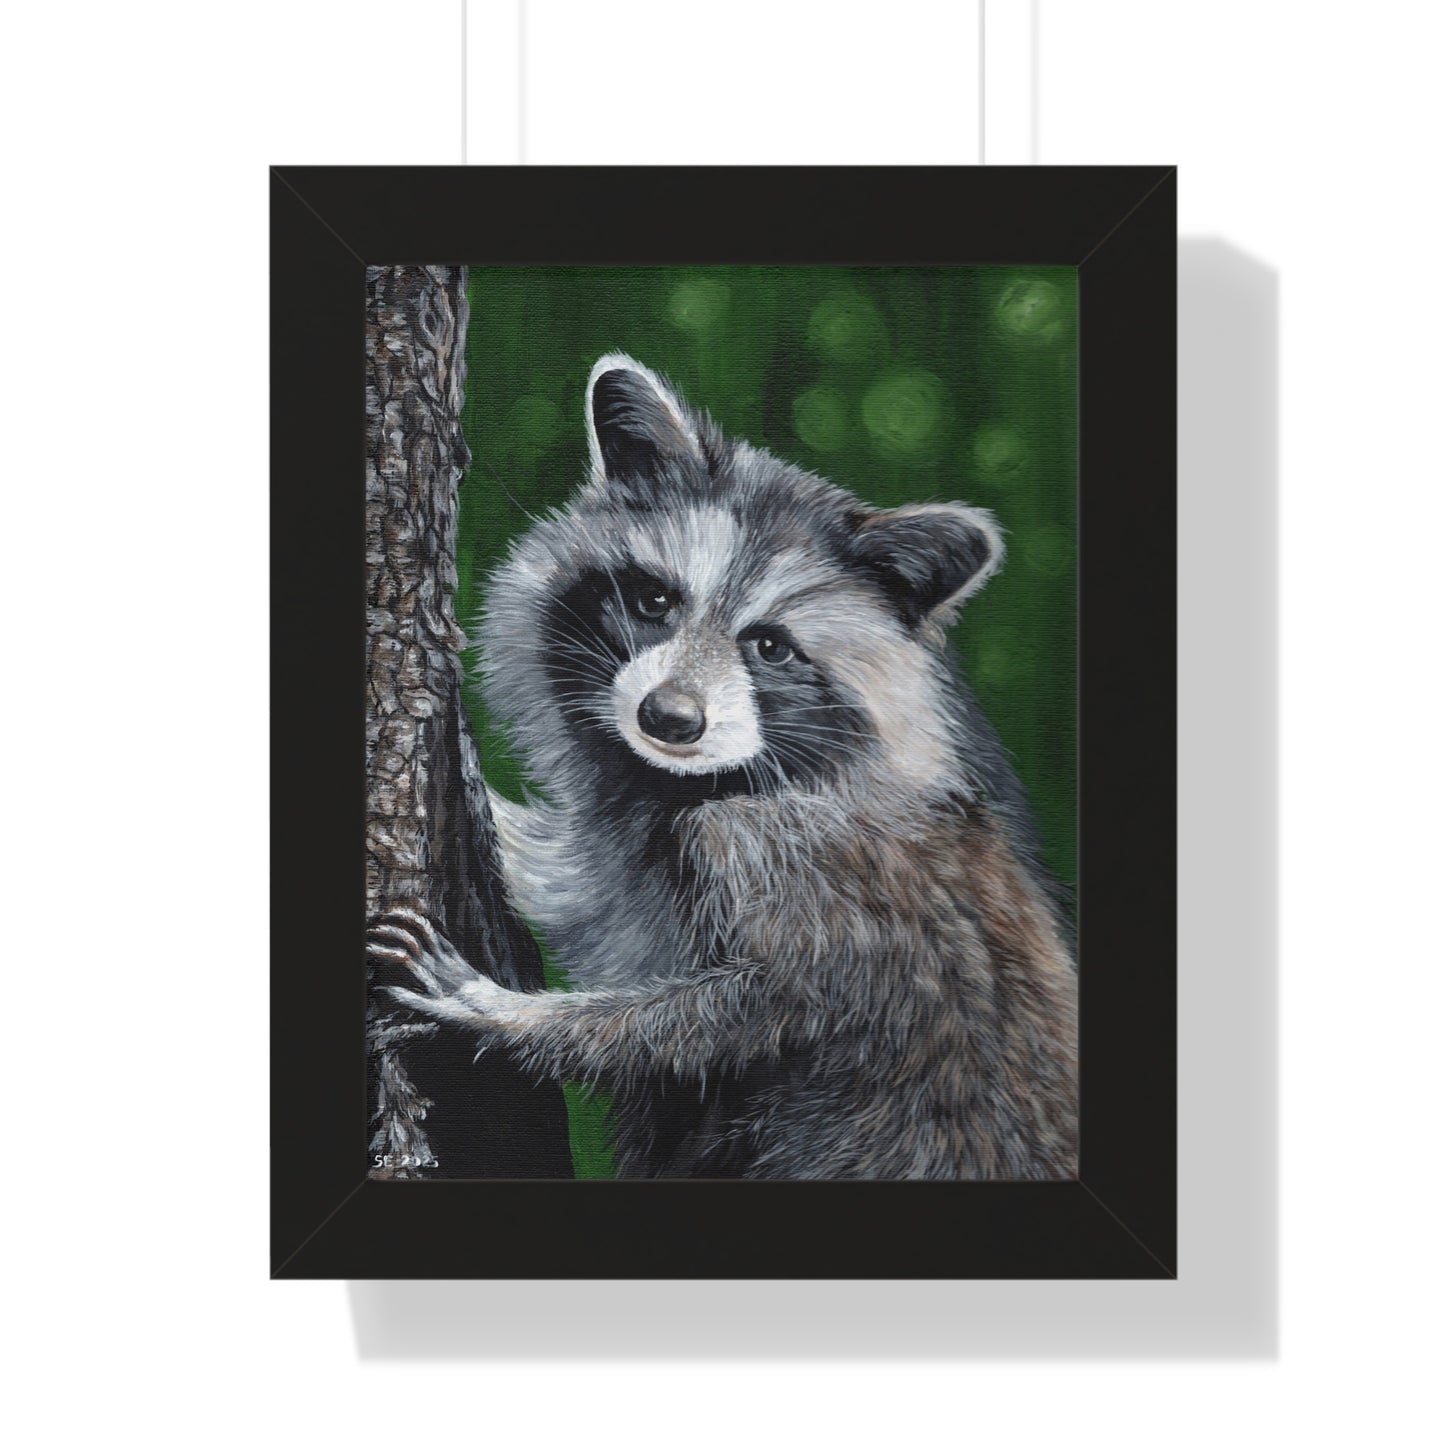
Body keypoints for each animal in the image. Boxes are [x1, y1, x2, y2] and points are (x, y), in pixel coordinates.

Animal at [369, 353, 1078, 1180]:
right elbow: (580, 887)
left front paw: (508, 1014)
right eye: (653, 600)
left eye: (769, 646)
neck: (691, 781)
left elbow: (746, 1010)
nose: (669, 718)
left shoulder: (806, 865)